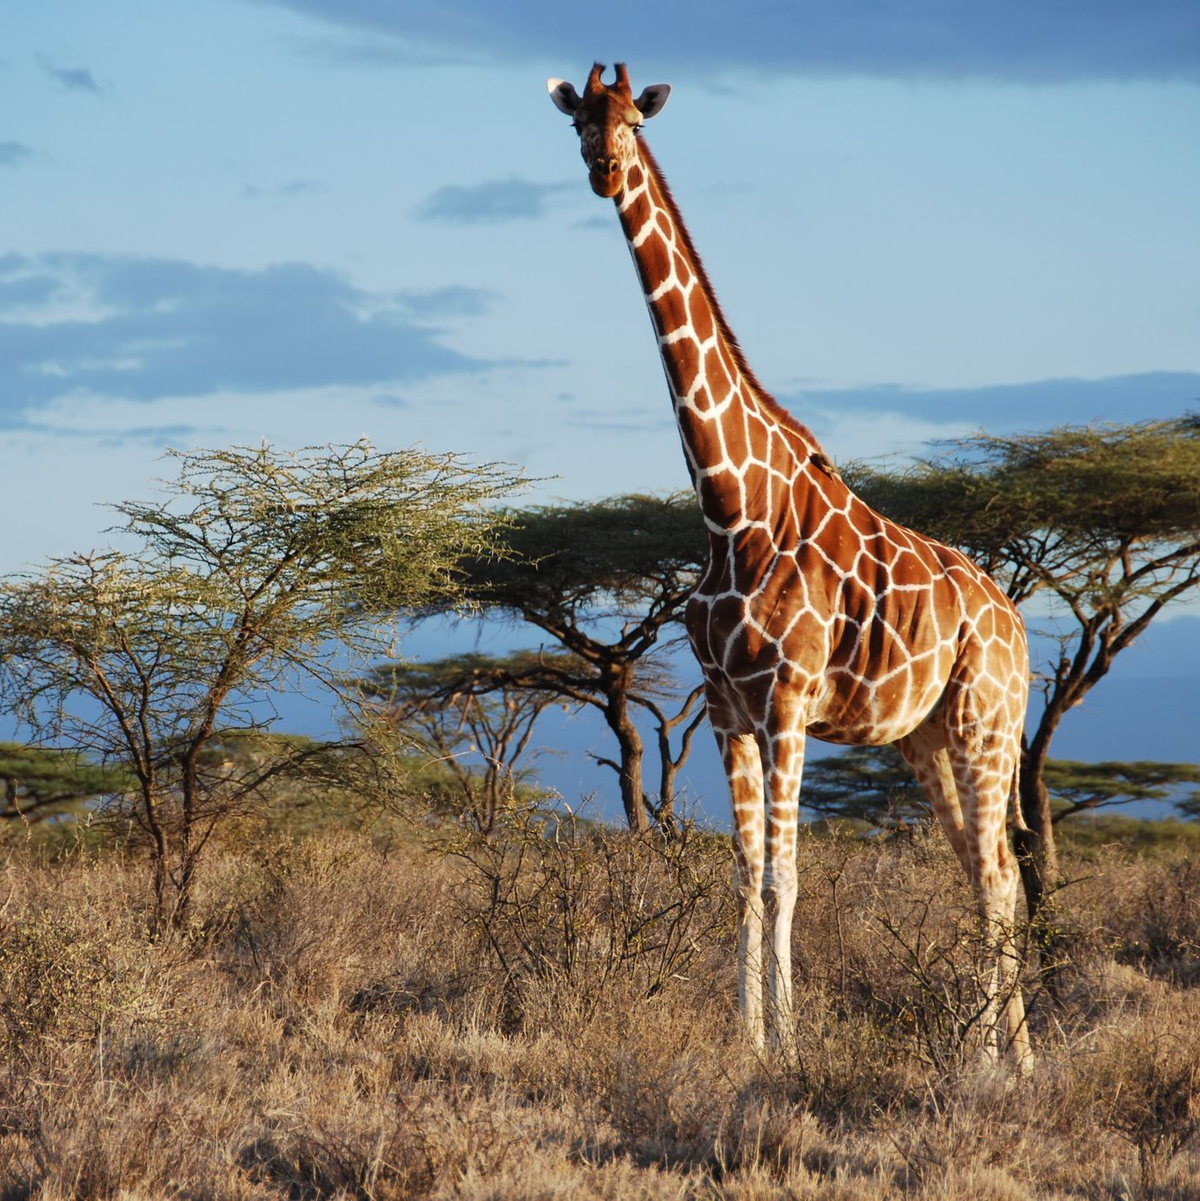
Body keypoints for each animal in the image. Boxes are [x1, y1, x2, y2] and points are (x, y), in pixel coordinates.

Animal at [547, 63, 1033, 1069]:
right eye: (578, 123)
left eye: (632, 122)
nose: (604, 171)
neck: (730, 507)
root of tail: (1019, 626)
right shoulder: (727, 709)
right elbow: (744, 875)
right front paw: (748, 1041)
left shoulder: (788, 702)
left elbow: (787, 876)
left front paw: (792, 1048)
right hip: (928, 739)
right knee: (988, 872)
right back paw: (1007, 1058)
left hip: (987, 723)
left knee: (1000, 874)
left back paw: (996, 1059)